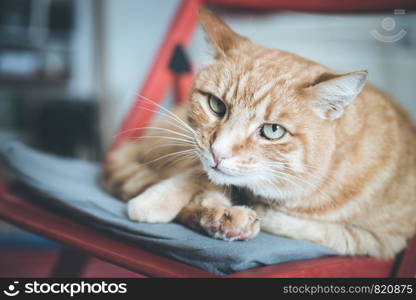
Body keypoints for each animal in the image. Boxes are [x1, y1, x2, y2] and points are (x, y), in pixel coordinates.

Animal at [101, 9, 416, 258]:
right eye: (216, 105)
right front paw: (158, 200)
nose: (218, 152)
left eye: (273, 130)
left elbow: (327, 232)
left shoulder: (382, 241)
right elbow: (198, 176)